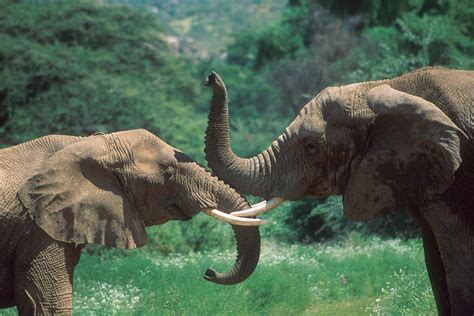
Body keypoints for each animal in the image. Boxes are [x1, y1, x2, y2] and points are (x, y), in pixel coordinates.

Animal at [204, 67, 474, 316]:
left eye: (311, 147)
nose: (210, 78)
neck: (382, 86)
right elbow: (435, 265)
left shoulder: (456, 177)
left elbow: (458, 260)